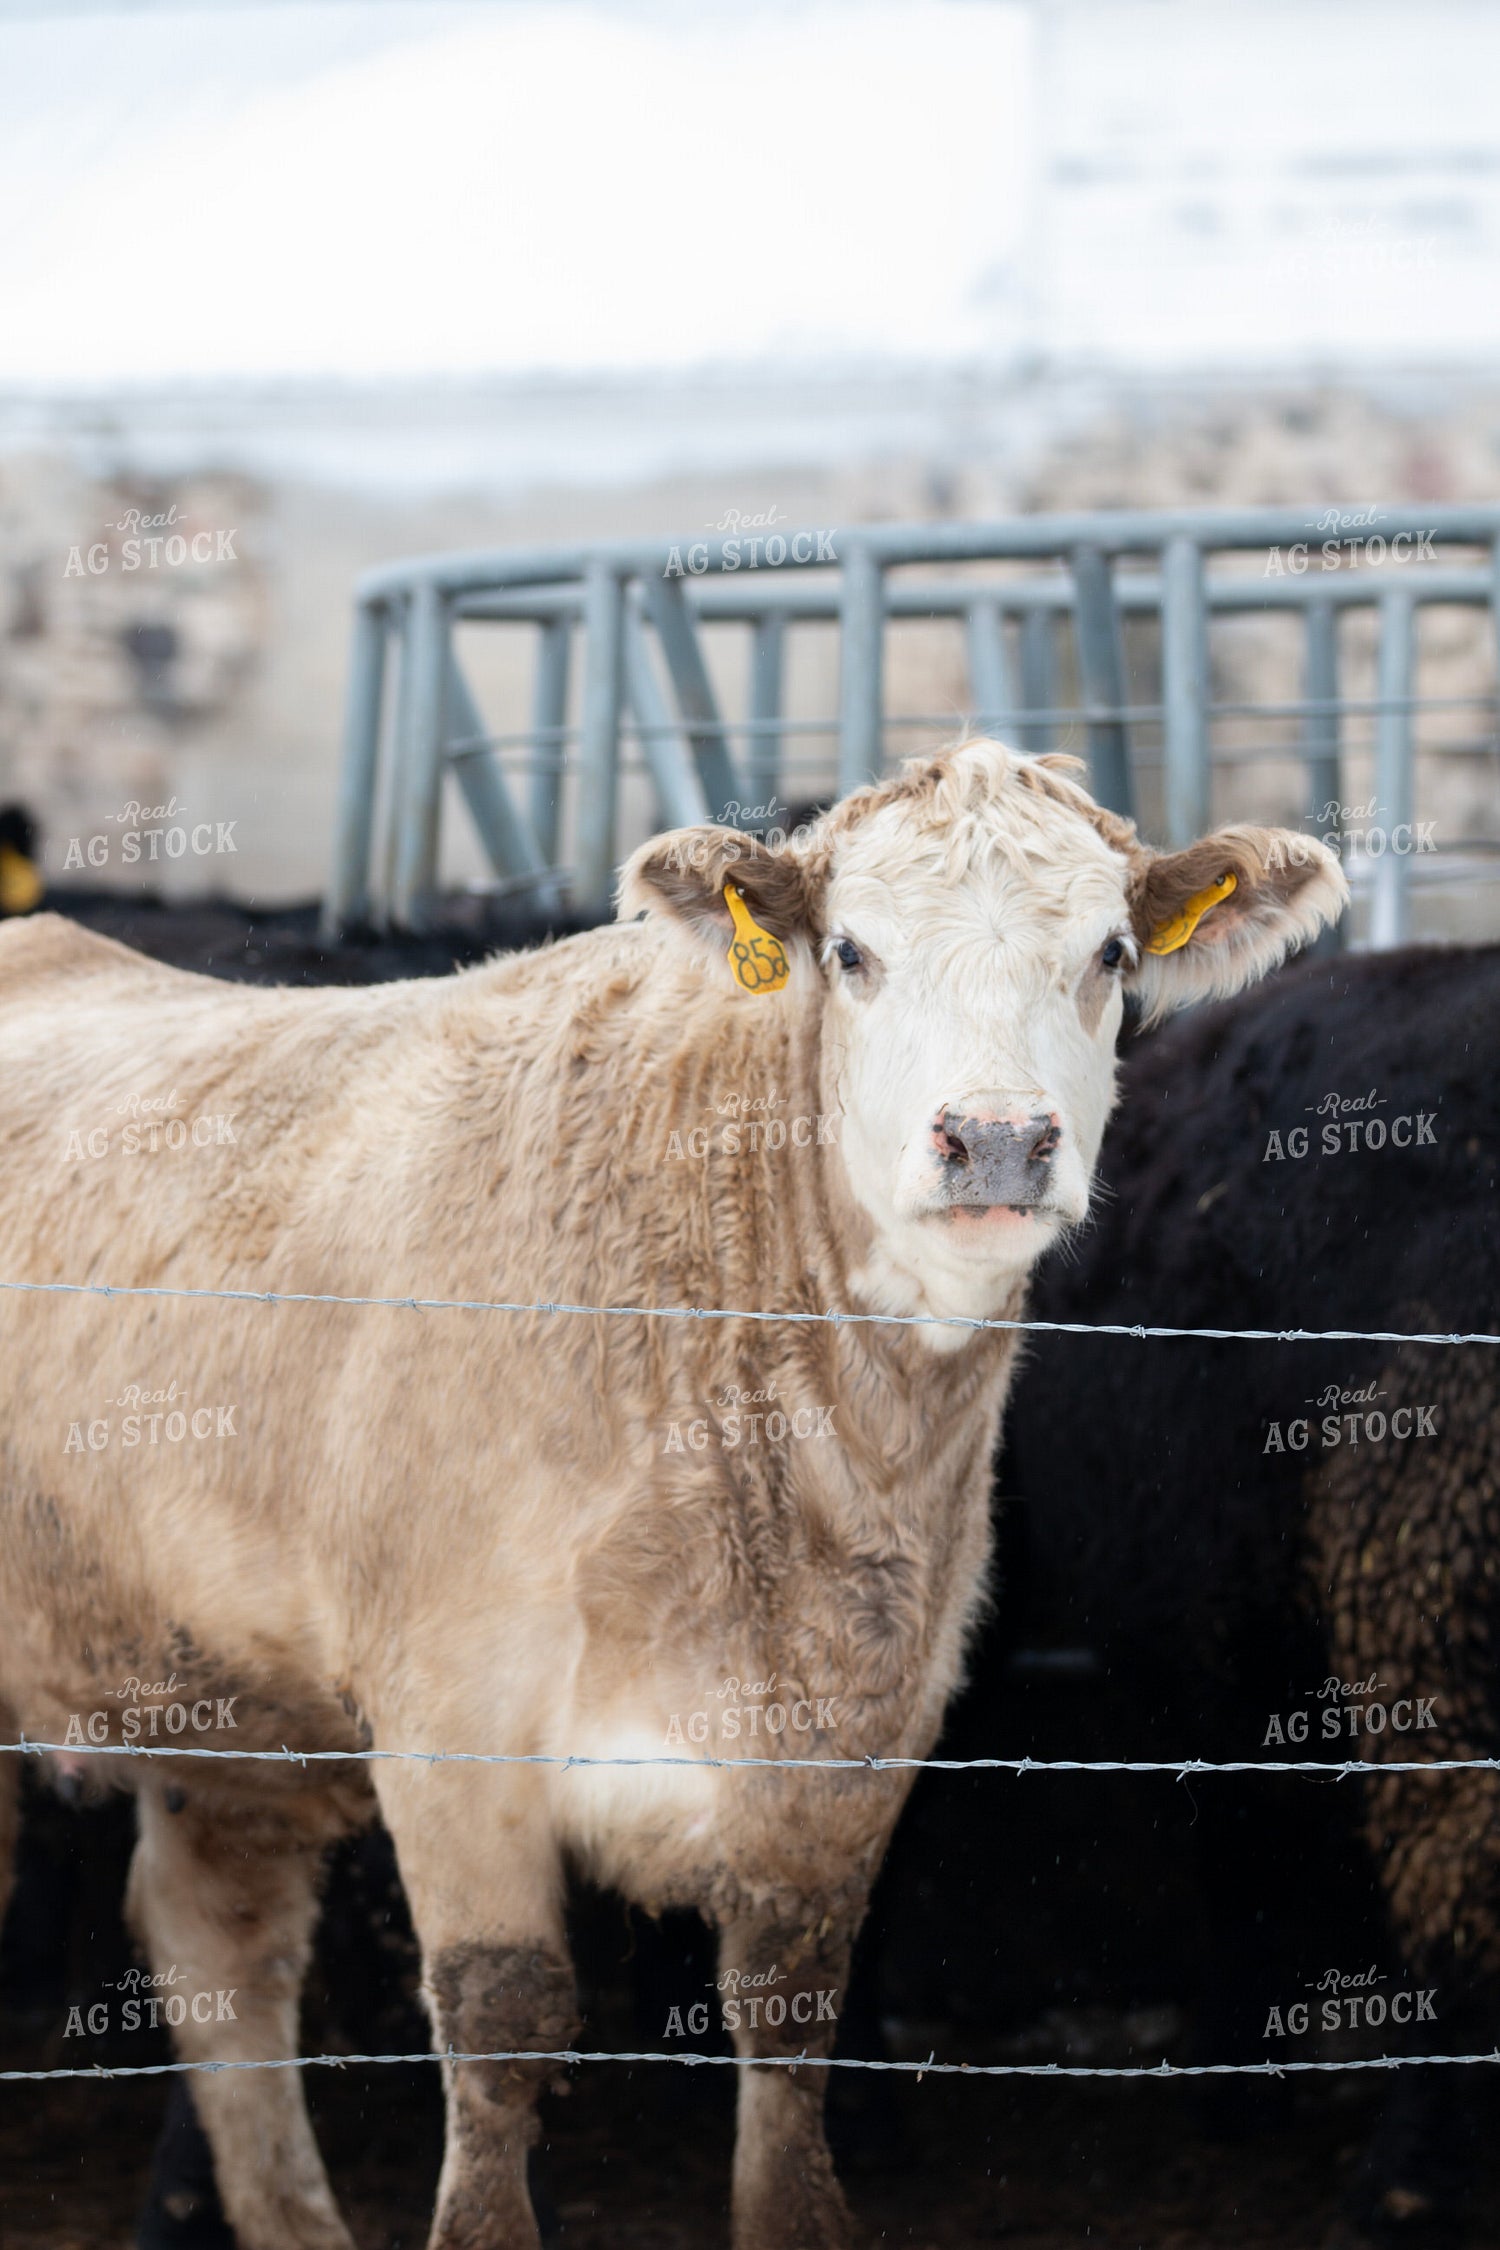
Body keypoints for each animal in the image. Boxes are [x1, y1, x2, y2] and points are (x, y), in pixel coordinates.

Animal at [0, 740, 1344, 2250]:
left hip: (222, 1701)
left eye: (1110, 951)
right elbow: (503, 2019)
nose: (995, 1141)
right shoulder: (451, 1713)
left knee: (218, 1944)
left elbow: (791, 2035)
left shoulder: (857, 1732)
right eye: (851, 951)